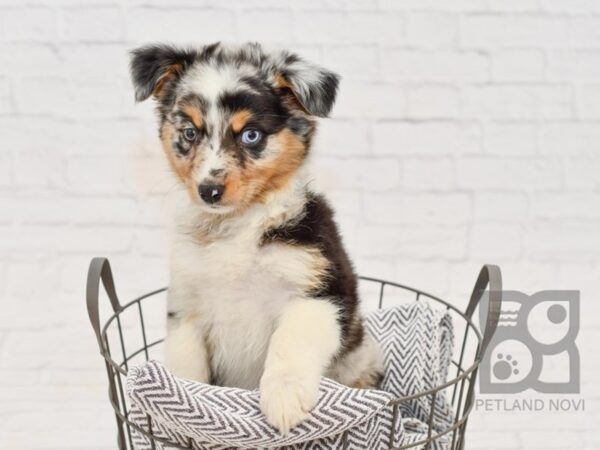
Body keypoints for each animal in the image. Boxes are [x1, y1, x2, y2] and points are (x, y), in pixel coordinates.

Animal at [131, 44, 384, 434]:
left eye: (251, 135)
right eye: (190, 133)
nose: (209, 191)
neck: (239, 225)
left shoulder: (320, 292)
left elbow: (291, 339)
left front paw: (284, 397)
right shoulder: (187, 305)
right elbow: (185, 366)